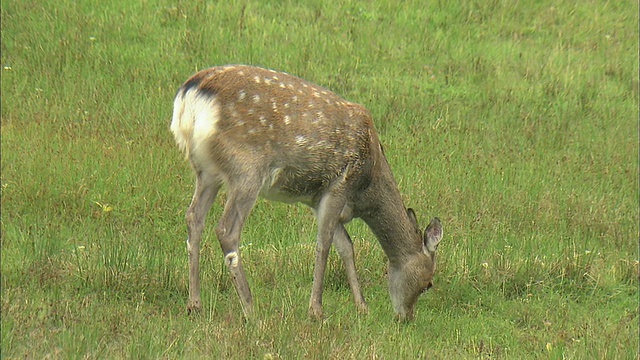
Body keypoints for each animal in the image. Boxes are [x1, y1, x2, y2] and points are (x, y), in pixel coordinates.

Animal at [170, 64, 442, 320]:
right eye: (428, 283)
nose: (406, 317)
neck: (366, 188)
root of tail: (191, 95)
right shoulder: (339, 184)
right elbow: (324, 244)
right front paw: (316, 310)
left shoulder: (317, 200)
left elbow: (346, 246)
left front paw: (362, 307)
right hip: (246, 169)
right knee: (226, 229)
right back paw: (250, 309)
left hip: (206, 171)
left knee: (194, 217)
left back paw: (194, 304)